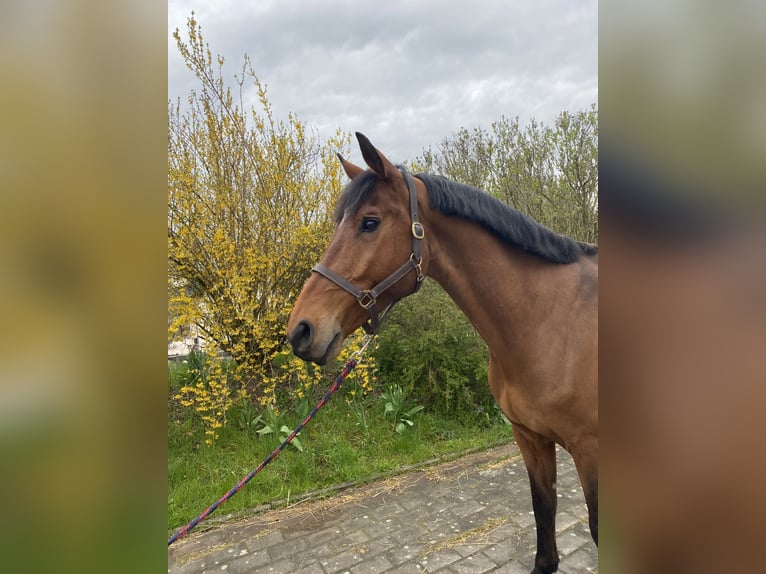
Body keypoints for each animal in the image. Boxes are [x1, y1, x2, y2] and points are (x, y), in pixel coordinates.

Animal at [287, 132, 598, 574]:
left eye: (369, 222)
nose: (301, 330)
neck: (549, 320)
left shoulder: (592, 454)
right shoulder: (529, 437)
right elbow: (544, 514)